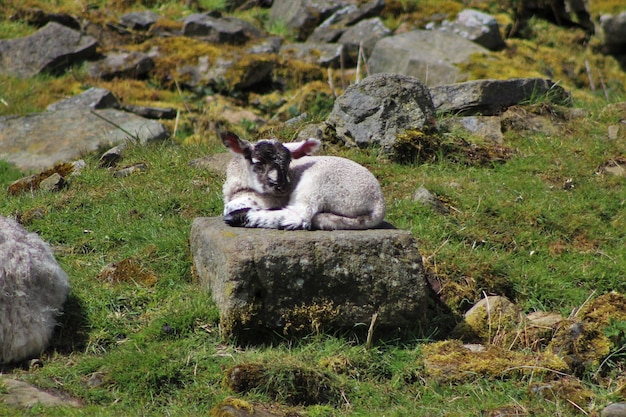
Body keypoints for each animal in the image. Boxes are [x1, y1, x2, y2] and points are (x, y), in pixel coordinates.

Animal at [219, 131, 386, 229]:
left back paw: (238, 218)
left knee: (301, 216)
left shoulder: (271, 199)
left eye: (288, 162)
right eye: (257, 162)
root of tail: (378, 204)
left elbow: (229, 206)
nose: (283, 187)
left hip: (317, 185)